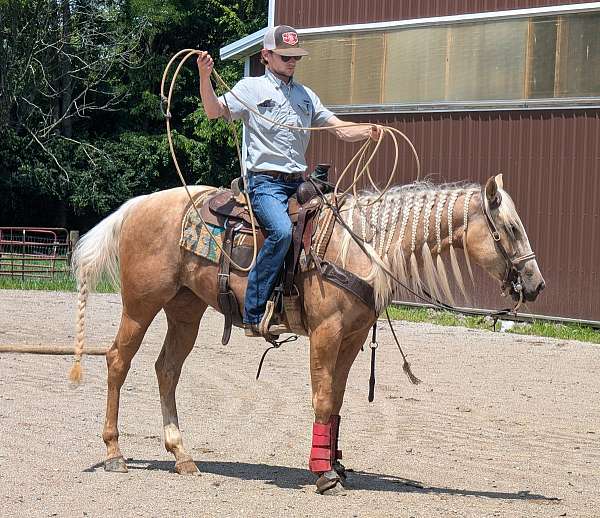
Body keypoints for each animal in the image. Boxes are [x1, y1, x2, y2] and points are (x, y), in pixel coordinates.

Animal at [70, 175, 544, 496]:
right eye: (512, 228)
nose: (536, 284)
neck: (361, 246)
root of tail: (137, 205)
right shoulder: (325, 333)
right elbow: (321, 397)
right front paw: (322, 472)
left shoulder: (352, 338)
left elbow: (336, 400)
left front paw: (336, 463)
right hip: (141, 304)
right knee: (118, 361)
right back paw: (115, 454)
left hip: (184, 309)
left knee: (167, 370)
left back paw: (182, 455)